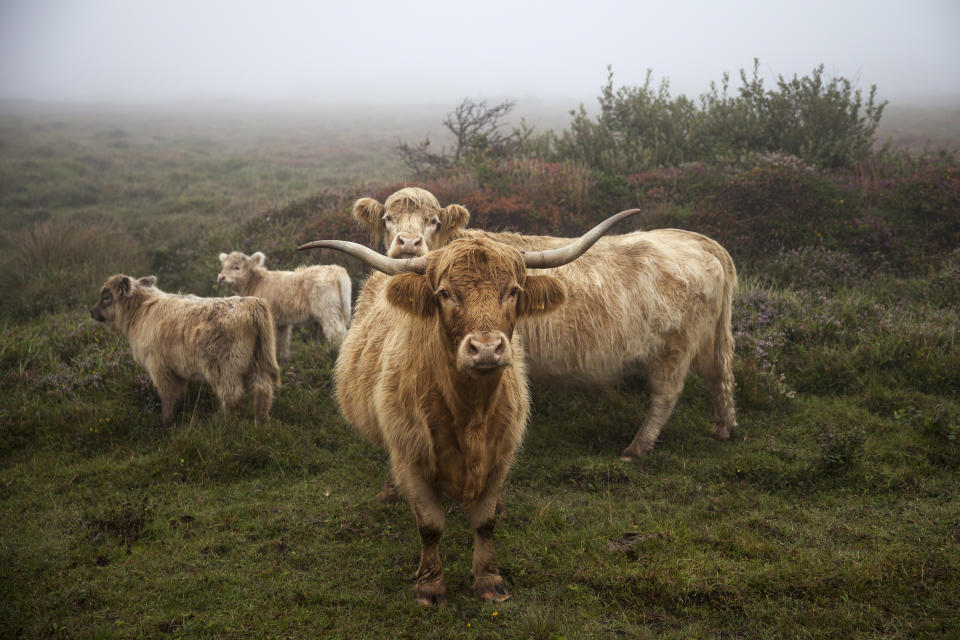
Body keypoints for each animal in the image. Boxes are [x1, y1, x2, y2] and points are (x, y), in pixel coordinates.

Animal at [89, 274, 282, 424]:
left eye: (106, 296)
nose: (92, 311)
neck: (141, 311)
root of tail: (251, 303)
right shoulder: (177, 369)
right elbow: (179, 395)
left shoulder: (159, 366)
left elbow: (167, 396)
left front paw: (165, 421)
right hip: (257, 361)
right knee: (262, 390)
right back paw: (261, 423)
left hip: (224, 367)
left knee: (232, 395)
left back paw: (222, 423)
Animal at [218, 251, 352, 360]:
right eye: (223, 266)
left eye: (237, 267)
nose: (221, 277)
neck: (254, 284)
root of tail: (336, 269)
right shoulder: (282, 321)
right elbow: (282, 339)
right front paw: (284, 358)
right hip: (338, 309)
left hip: (326, 309)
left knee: (336, 331)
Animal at [300, 209, 640, 604]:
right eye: (446, 293)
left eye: (513, 291)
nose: (487, 348)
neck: (470, 412)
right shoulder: (412, 457)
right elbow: (430, 525)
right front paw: (430, 586)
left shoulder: (500, 455)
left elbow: (485, 520)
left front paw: (489, 580)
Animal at [350, 186, 736, 460]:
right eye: (387, 218)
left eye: (434, 221)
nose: (409, 244)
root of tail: (699, 241)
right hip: (708, 342)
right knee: (720, 378)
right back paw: (722, 428)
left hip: (675, 349)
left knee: (667, 395)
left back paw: (636, 447)